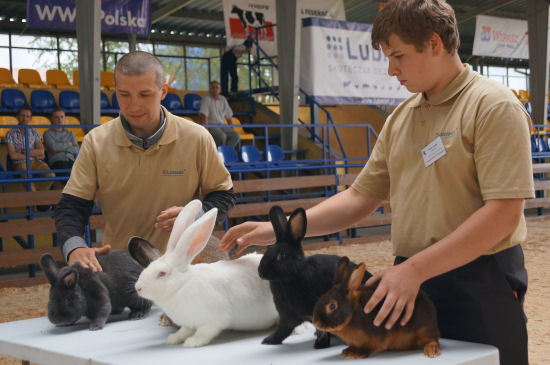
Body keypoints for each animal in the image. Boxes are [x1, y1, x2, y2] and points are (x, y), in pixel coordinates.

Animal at [127, 200, 278, 346]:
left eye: (161, 273)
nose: (138, 287)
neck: (181, 286)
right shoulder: (188, 324)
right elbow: (184, 331)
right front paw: (173, 339)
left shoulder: (214, 319)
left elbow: (204, 332)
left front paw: (192, 342)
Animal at [258, 205, 370, 346]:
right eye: (267, 251)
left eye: (281, 255)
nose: (261, 272)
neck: (293, 276)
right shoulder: (287, 316)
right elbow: (283, 330)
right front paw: (269, 341)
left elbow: (322, 328)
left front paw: (321, 344)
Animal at [312, 256, 442, 358]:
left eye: (332, 306)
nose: (316, 322)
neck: (353, 313)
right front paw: (348, 351)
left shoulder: (375, 338)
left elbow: (371, 347)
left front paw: (357, 354)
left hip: (424, 328)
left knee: (433, 339)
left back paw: (431, 350)